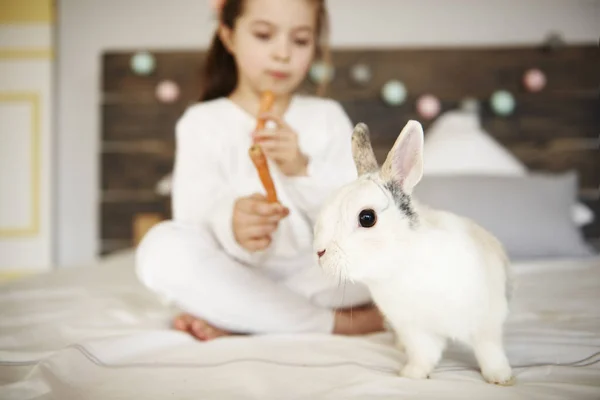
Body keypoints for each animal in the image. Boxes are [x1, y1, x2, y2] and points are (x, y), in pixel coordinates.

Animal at [312, 119, 512, 384]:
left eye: (367, 218)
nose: (319, 252)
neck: (402, 264)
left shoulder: (486, 321)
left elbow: (490, 350)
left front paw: (500, 377)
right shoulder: (415, 329)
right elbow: (424, 355)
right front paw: (411, 375)